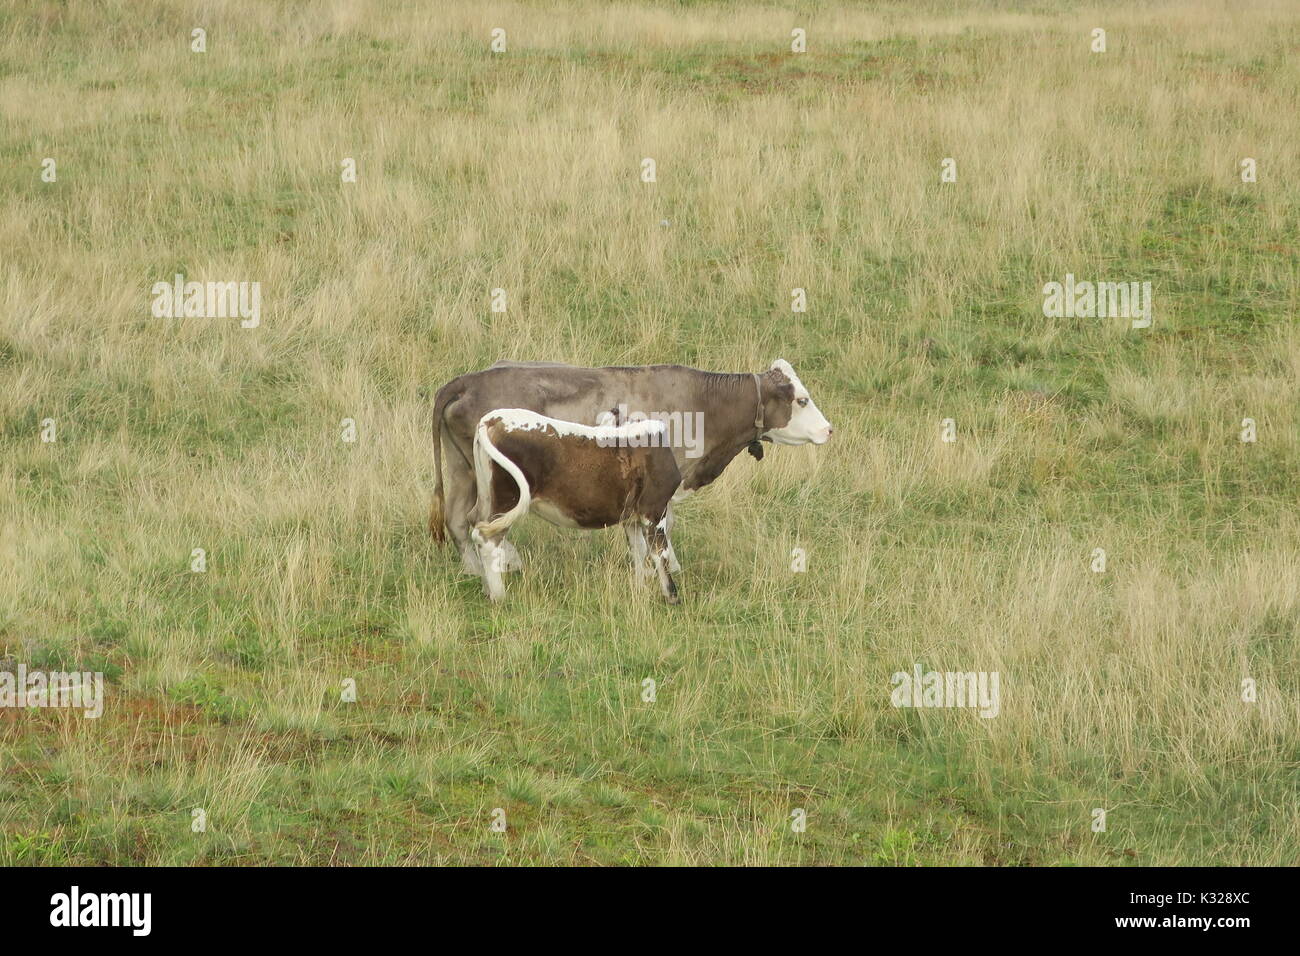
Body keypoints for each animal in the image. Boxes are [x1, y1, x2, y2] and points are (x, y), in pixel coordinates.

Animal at [473, 411, 686, 606]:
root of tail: (494, 418)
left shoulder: (631, 518)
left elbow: (638, 550)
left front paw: (640, 589)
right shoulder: (654, 508)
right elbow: (660, 552)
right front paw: (672, 596)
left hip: (486, 498)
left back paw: (486, 590)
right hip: (508, 499)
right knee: (487, 539)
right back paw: (500, 597)